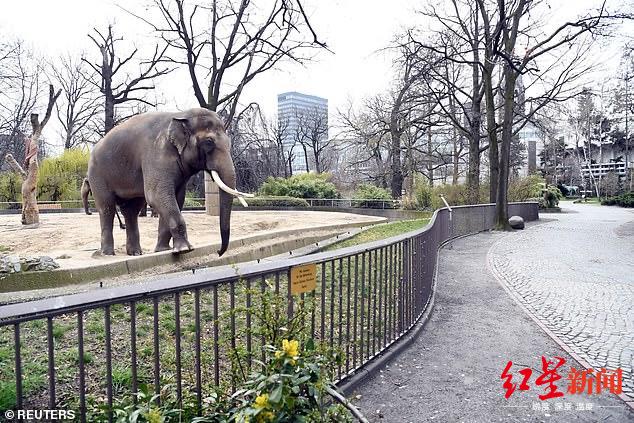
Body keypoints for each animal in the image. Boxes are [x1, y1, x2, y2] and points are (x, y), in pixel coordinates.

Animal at [86, 107, 249, 256]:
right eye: (209, 142)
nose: (218, 252)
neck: (181, 114)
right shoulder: (156, 154)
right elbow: (157, 195)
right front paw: (185, 250)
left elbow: (176, 197)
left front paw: (163, 250)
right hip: (97, 174)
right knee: (107, 207)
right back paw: (108, 254)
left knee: (131, 210)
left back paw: (135, 253)